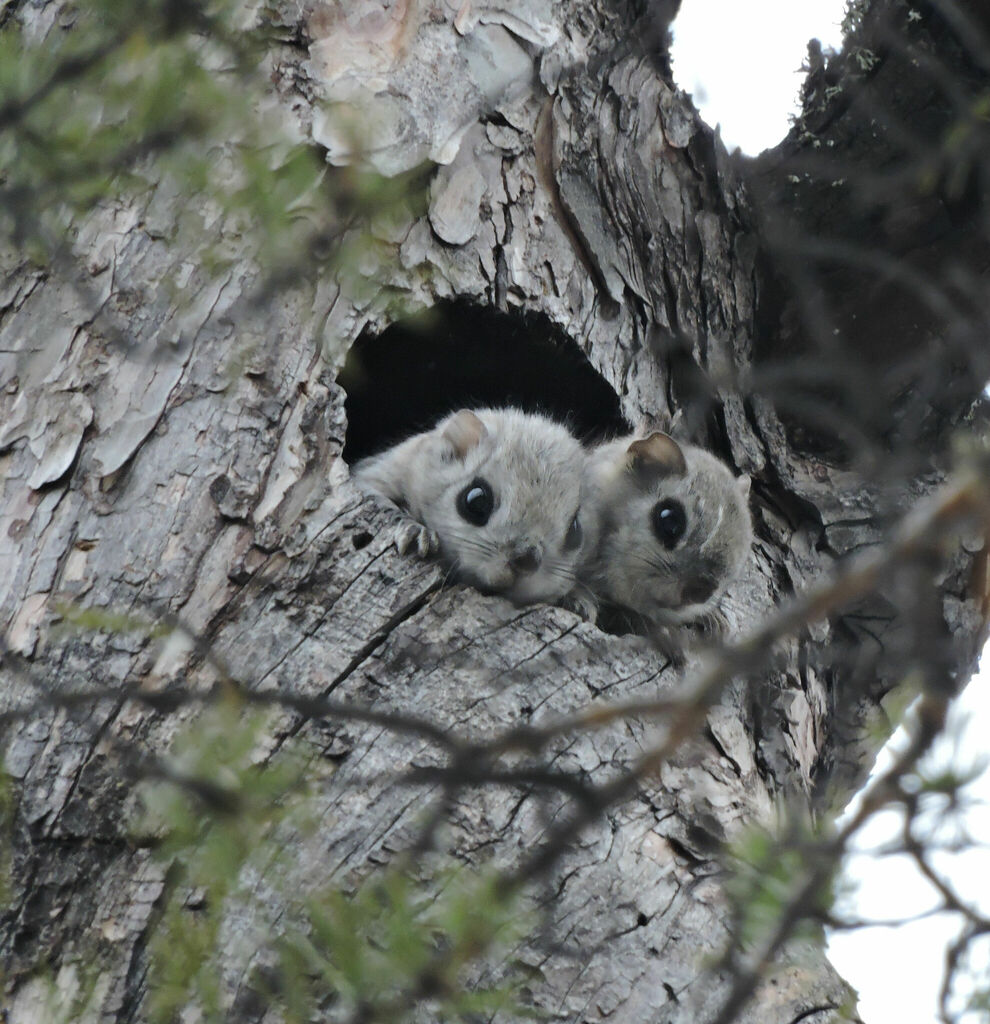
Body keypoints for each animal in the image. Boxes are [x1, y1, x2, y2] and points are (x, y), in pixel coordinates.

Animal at [351, 408, 590, 606]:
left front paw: (578, 601)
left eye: (575, 531)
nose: (527, 561)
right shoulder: (381, 472)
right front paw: (417, 532)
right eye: (476, 501)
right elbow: (374, 496)